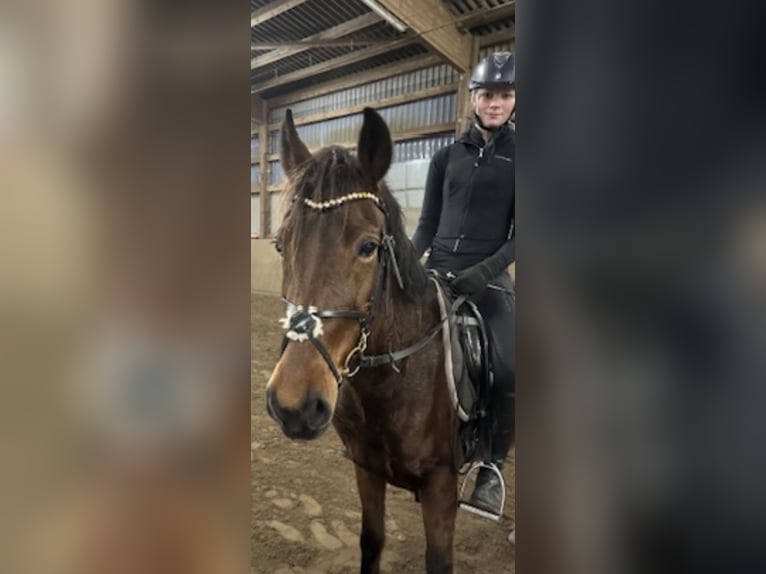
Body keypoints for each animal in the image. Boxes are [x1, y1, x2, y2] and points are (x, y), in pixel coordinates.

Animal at [266, 107, 463, 574]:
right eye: (280, 246)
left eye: (369, 247)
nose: (294, 406)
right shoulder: (366, 467)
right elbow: (371, 541)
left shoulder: (442, 488)